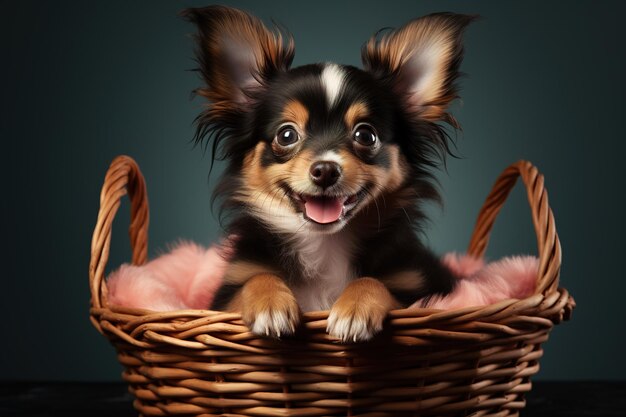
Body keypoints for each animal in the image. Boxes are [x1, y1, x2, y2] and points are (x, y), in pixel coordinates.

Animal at [183, 4, 470, 340]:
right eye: (286, 135)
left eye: (366, 135)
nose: (325, 170)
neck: (324, 247)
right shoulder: (226, 293)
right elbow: (254, 280)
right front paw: (270, 304)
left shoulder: (419, 285)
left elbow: (377, 283)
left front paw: (355, 309)